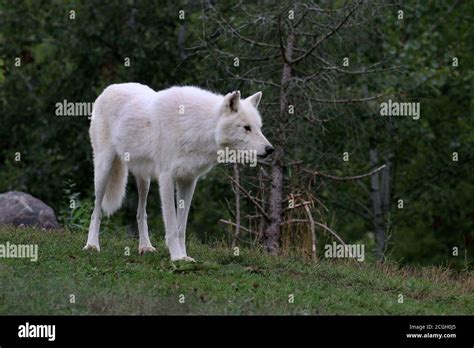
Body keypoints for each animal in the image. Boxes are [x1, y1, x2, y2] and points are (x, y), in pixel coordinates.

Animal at [83, 82, 272, 260]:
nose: (270, 149)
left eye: (259, 127)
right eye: (246, 128)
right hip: (103, 170)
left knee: (140, 213)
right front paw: (177, 257)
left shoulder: (188, 180)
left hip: (144, 180)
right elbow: (172, 225)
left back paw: (145, 247)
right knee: (96, 211)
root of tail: (110, 88)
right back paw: (92, 245)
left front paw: (184, 256)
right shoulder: (167, 178)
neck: (196, 126)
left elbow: (181, 228)